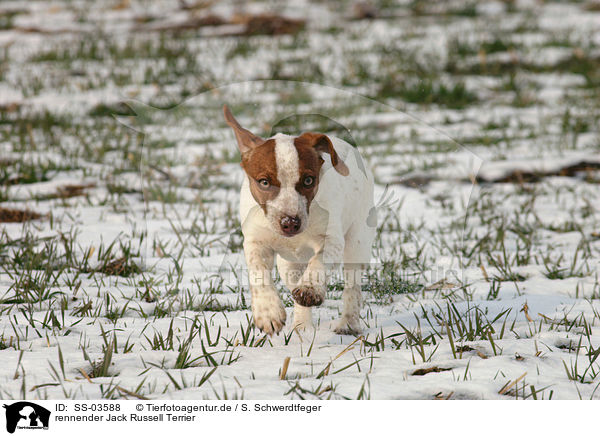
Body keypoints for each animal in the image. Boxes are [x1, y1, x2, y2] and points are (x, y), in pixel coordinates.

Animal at [225, 104, 376, 334]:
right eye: (264, 182)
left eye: (308, 180)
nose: (290, 223)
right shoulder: (255, 241)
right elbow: (258, 272)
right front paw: (268, 312)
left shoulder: (332, 240)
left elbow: (319, 262)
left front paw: (310, 288)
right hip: (288, 265)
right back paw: (301, 327)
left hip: (357, 240)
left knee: (353, 285)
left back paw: (348, 324)